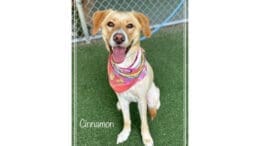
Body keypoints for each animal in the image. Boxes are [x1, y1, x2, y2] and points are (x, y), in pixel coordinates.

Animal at [91, 9, 160, 145]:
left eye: (130, 25)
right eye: (110, 24)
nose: (118, 37)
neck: (125, 68)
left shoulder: (142, 100)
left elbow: (144, 122)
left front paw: (146, 138)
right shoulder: (123, 98)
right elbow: (127, 119)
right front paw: (125, 133)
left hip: (153, 94)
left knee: (154, 106)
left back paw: (153, 112)